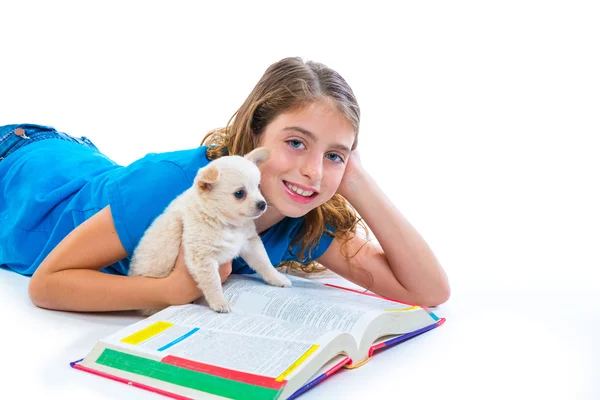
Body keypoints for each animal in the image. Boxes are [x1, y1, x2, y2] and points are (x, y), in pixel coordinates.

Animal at [129, 147, 292, 312]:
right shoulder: (203, 256)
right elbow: (212, 281)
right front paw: (219, 302)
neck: (227, 223)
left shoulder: (250, 242)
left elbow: (264, 263)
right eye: (239, 193)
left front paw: (278, 278)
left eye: (258, 187)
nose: (262, 204)